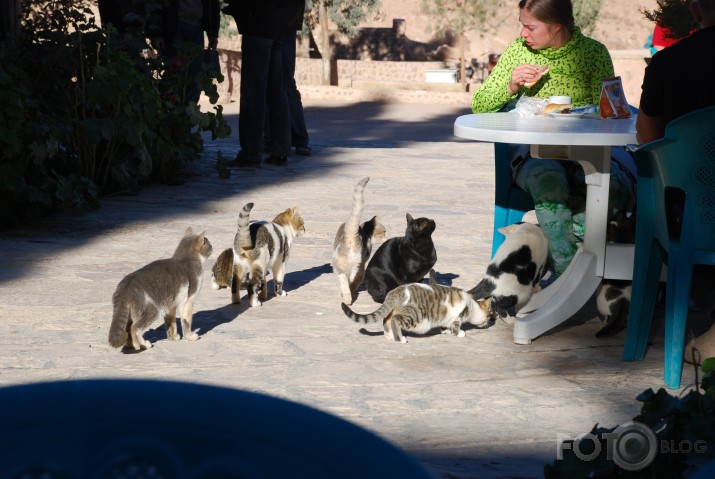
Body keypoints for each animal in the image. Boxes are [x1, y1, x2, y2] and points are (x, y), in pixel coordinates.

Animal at [332, 176, 388, 304]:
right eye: (384, 232)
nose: (388, 236)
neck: (365, 231)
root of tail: (350, 236)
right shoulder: (362, 263)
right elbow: (358, 279)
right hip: (354, 264)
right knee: (348, 280)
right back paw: (347, 298)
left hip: (340, 264)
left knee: (343, 278)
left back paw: (345, 297)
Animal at [342, 284, 492, 344]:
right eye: (490, 315)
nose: (489, 323)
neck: (471, 305)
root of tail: (396, 291)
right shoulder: (457, 317)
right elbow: (456, 327)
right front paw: (460, 333)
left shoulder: (447, 319)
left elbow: (445, 326)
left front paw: (445, 331)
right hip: (414, 317)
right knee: (395, 320)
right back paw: (400, 339)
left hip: (396, 311)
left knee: (386, 319)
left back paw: (389, 336)